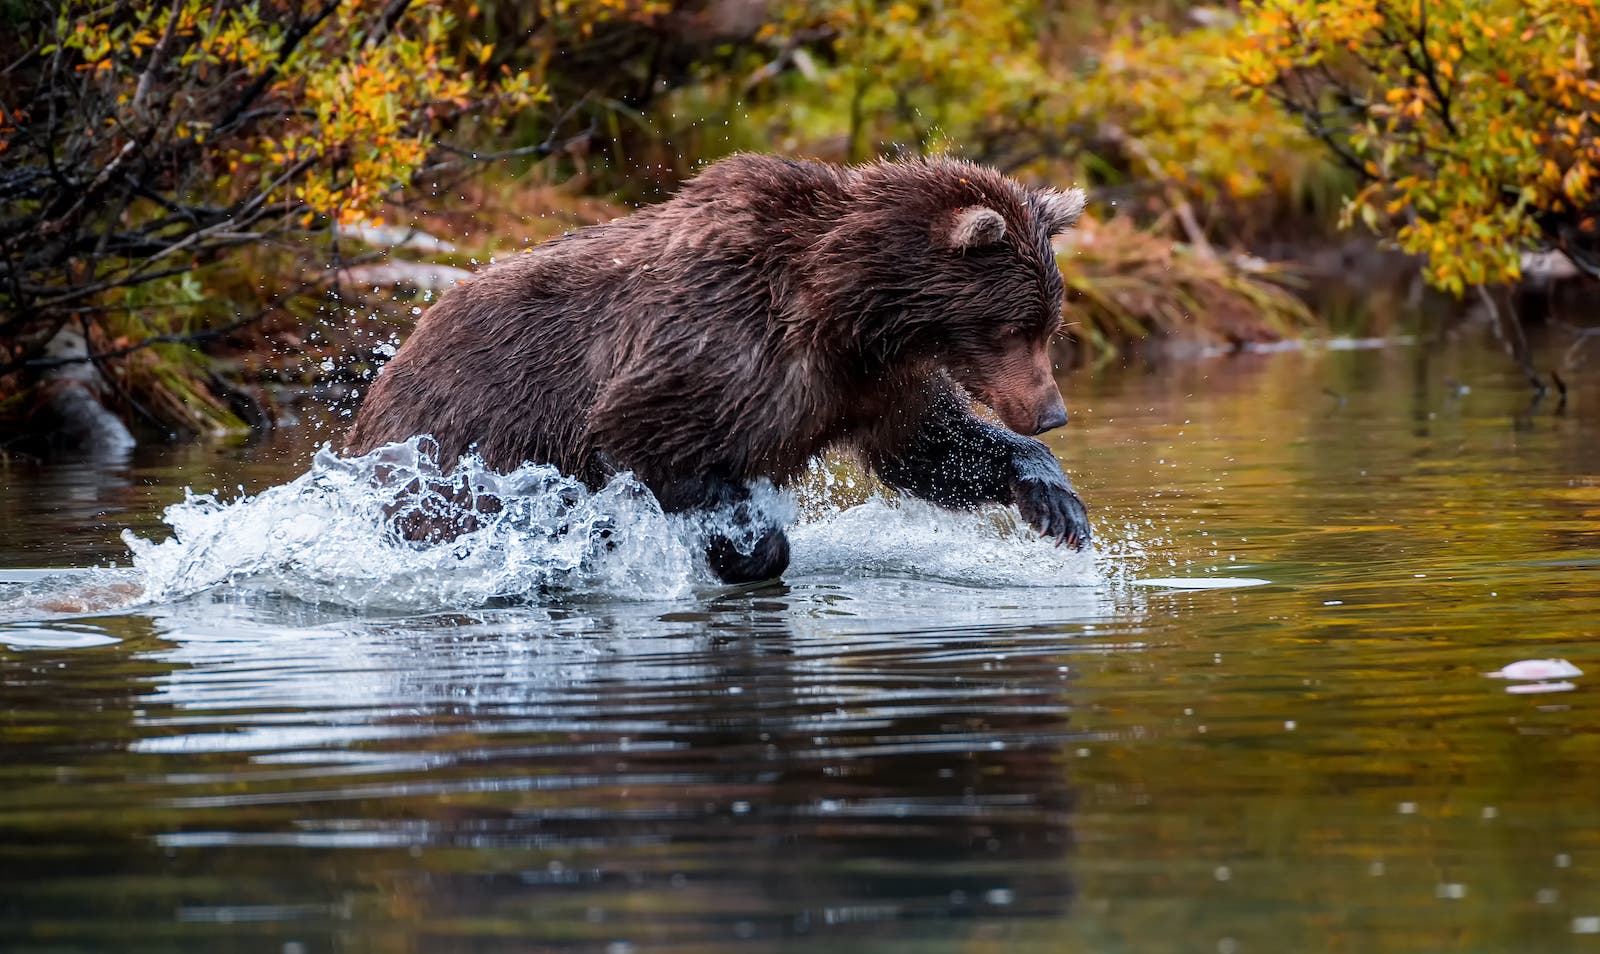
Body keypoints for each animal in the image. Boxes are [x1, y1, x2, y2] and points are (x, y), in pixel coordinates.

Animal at [343, 153, 1091, 584]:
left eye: (1049, 324)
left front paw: (1056, 503)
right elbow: (646, 438)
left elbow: (928, 450)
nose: (1052, 413)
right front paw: (747, 546)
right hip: (454, 441)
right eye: (1014, 327)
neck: (845, 314)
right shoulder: (713, 344)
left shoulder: (870, 384)